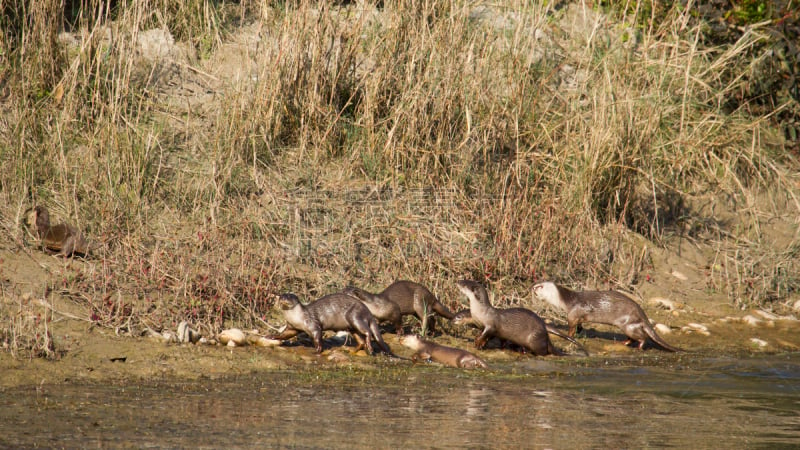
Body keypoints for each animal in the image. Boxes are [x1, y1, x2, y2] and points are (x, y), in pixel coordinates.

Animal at [536, 282, 684, 352]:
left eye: (539, 286)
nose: (532, 286)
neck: (568, 300)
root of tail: (641, 312)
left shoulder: (573, 313)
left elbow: (571, 327)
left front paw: (570, 336)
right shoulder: (578, 316)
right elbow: (579, 325)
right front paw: (579, 331)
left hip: (628, 324)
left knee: (642, 337)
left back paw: (638, 347)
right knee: (632, 338)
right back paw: (621, 343)